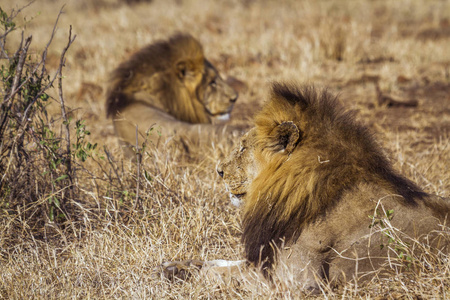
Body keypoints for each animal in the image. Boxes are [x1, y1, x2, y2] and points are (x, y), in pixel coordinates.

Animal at [156, 82, 448, 292]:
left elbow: (222, 272)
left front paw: (181, 274)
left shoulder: (297, 279)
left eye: (242, 148)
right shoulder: (269, 255)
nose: (219, 171)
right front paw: (175, 266)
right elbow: (222, 261)